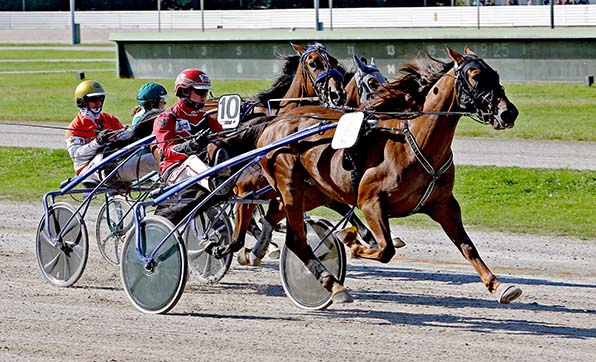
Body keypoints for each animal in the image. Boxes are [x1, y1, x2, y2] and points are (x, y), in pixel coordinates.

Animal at [256, 46, 520, 304]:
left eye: (495, 74)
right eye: (475, 76)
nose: (508, 113)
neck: (416, 142)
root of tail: (275, 122)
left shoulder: (444, 204)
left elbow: (467, 246)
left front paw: (499, 285)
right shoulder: (370, 201)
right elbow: (385, 250)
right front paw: (351, 241)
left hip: (313, 191)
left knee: (277, 214)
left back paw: (259, 248)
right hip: (291, 184)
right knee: (296, 239)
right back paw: (332, 284)